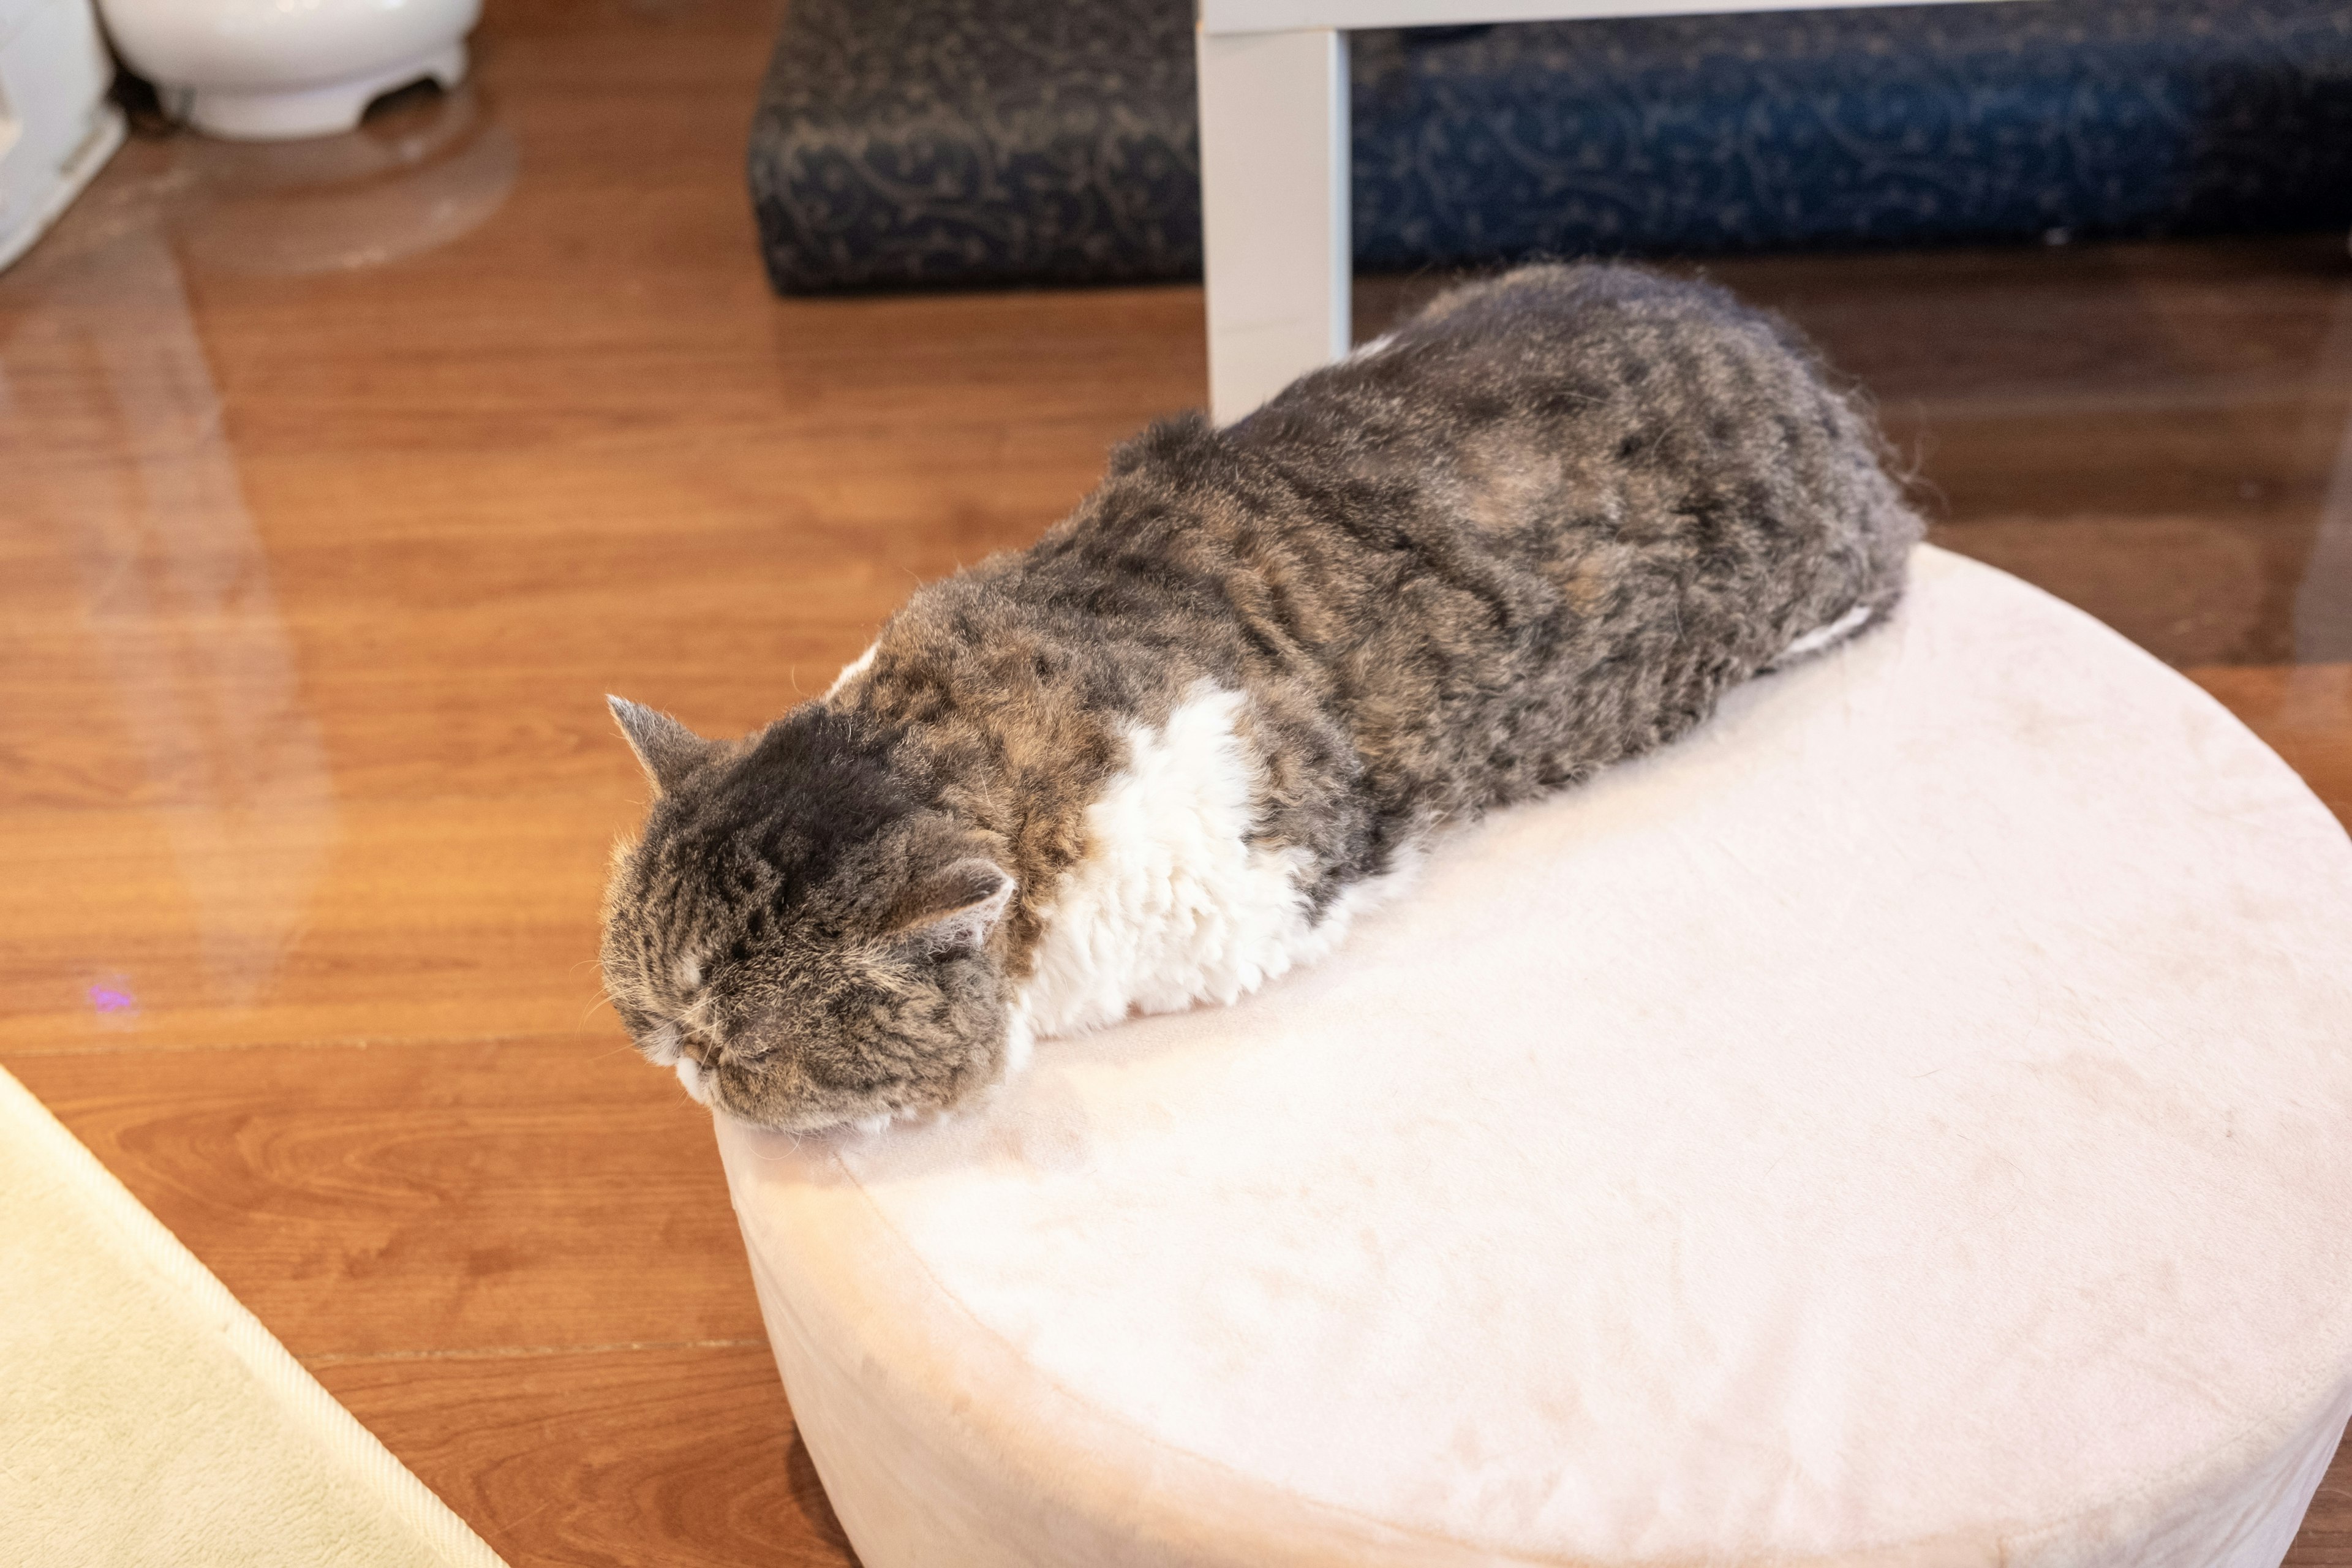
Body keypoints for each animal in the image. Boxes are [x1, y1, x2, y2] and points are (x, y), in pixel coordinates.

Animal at [597, 263, 1919, 1133]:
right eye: (647, 1007)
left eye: (745, 1045)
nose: (680, 1062)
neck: (945, 728)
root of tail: (1790, 358)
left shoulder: (1272, 870)